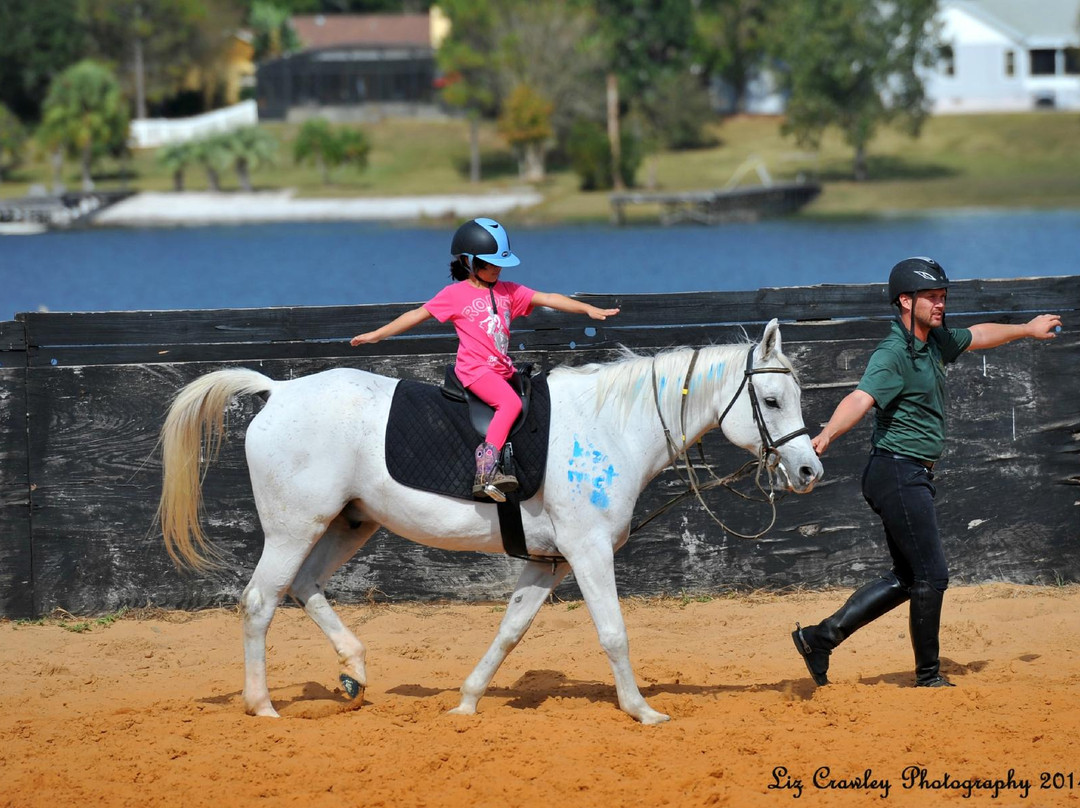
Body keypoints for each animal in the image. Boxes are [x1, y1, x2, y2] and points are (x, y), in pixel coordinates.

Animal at [158, 318, 823, 724]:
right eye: (770, 401)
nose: (809, 469)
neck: (609, 427)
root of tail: (278, 391)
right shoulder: (587, 552)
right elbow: (613, 633)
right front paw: (642, 711)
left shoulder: (548, 563)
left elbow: (509, 631)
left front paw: (467, 702)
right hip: (294, 528)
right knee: (259, 602)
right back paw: (263, 705)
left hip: (349, 524)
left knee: (304, 586)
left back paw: (354, 670)